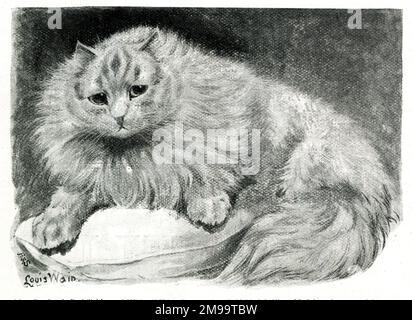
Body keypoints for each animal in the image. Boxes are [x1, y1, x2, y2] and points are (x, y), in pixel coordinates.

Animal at [32, 26, 400, 284]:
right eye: (99, 99)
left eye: (137, 91)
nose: (119, 117)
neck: (132, 152)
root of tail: (372, 191)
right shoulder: (93, 178)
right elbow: (68, 198)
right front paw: (50, 227)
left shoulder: (227, 140)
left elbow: (206, 174)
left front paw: (207, 206)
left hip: (307, 158)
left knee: (286, 194)